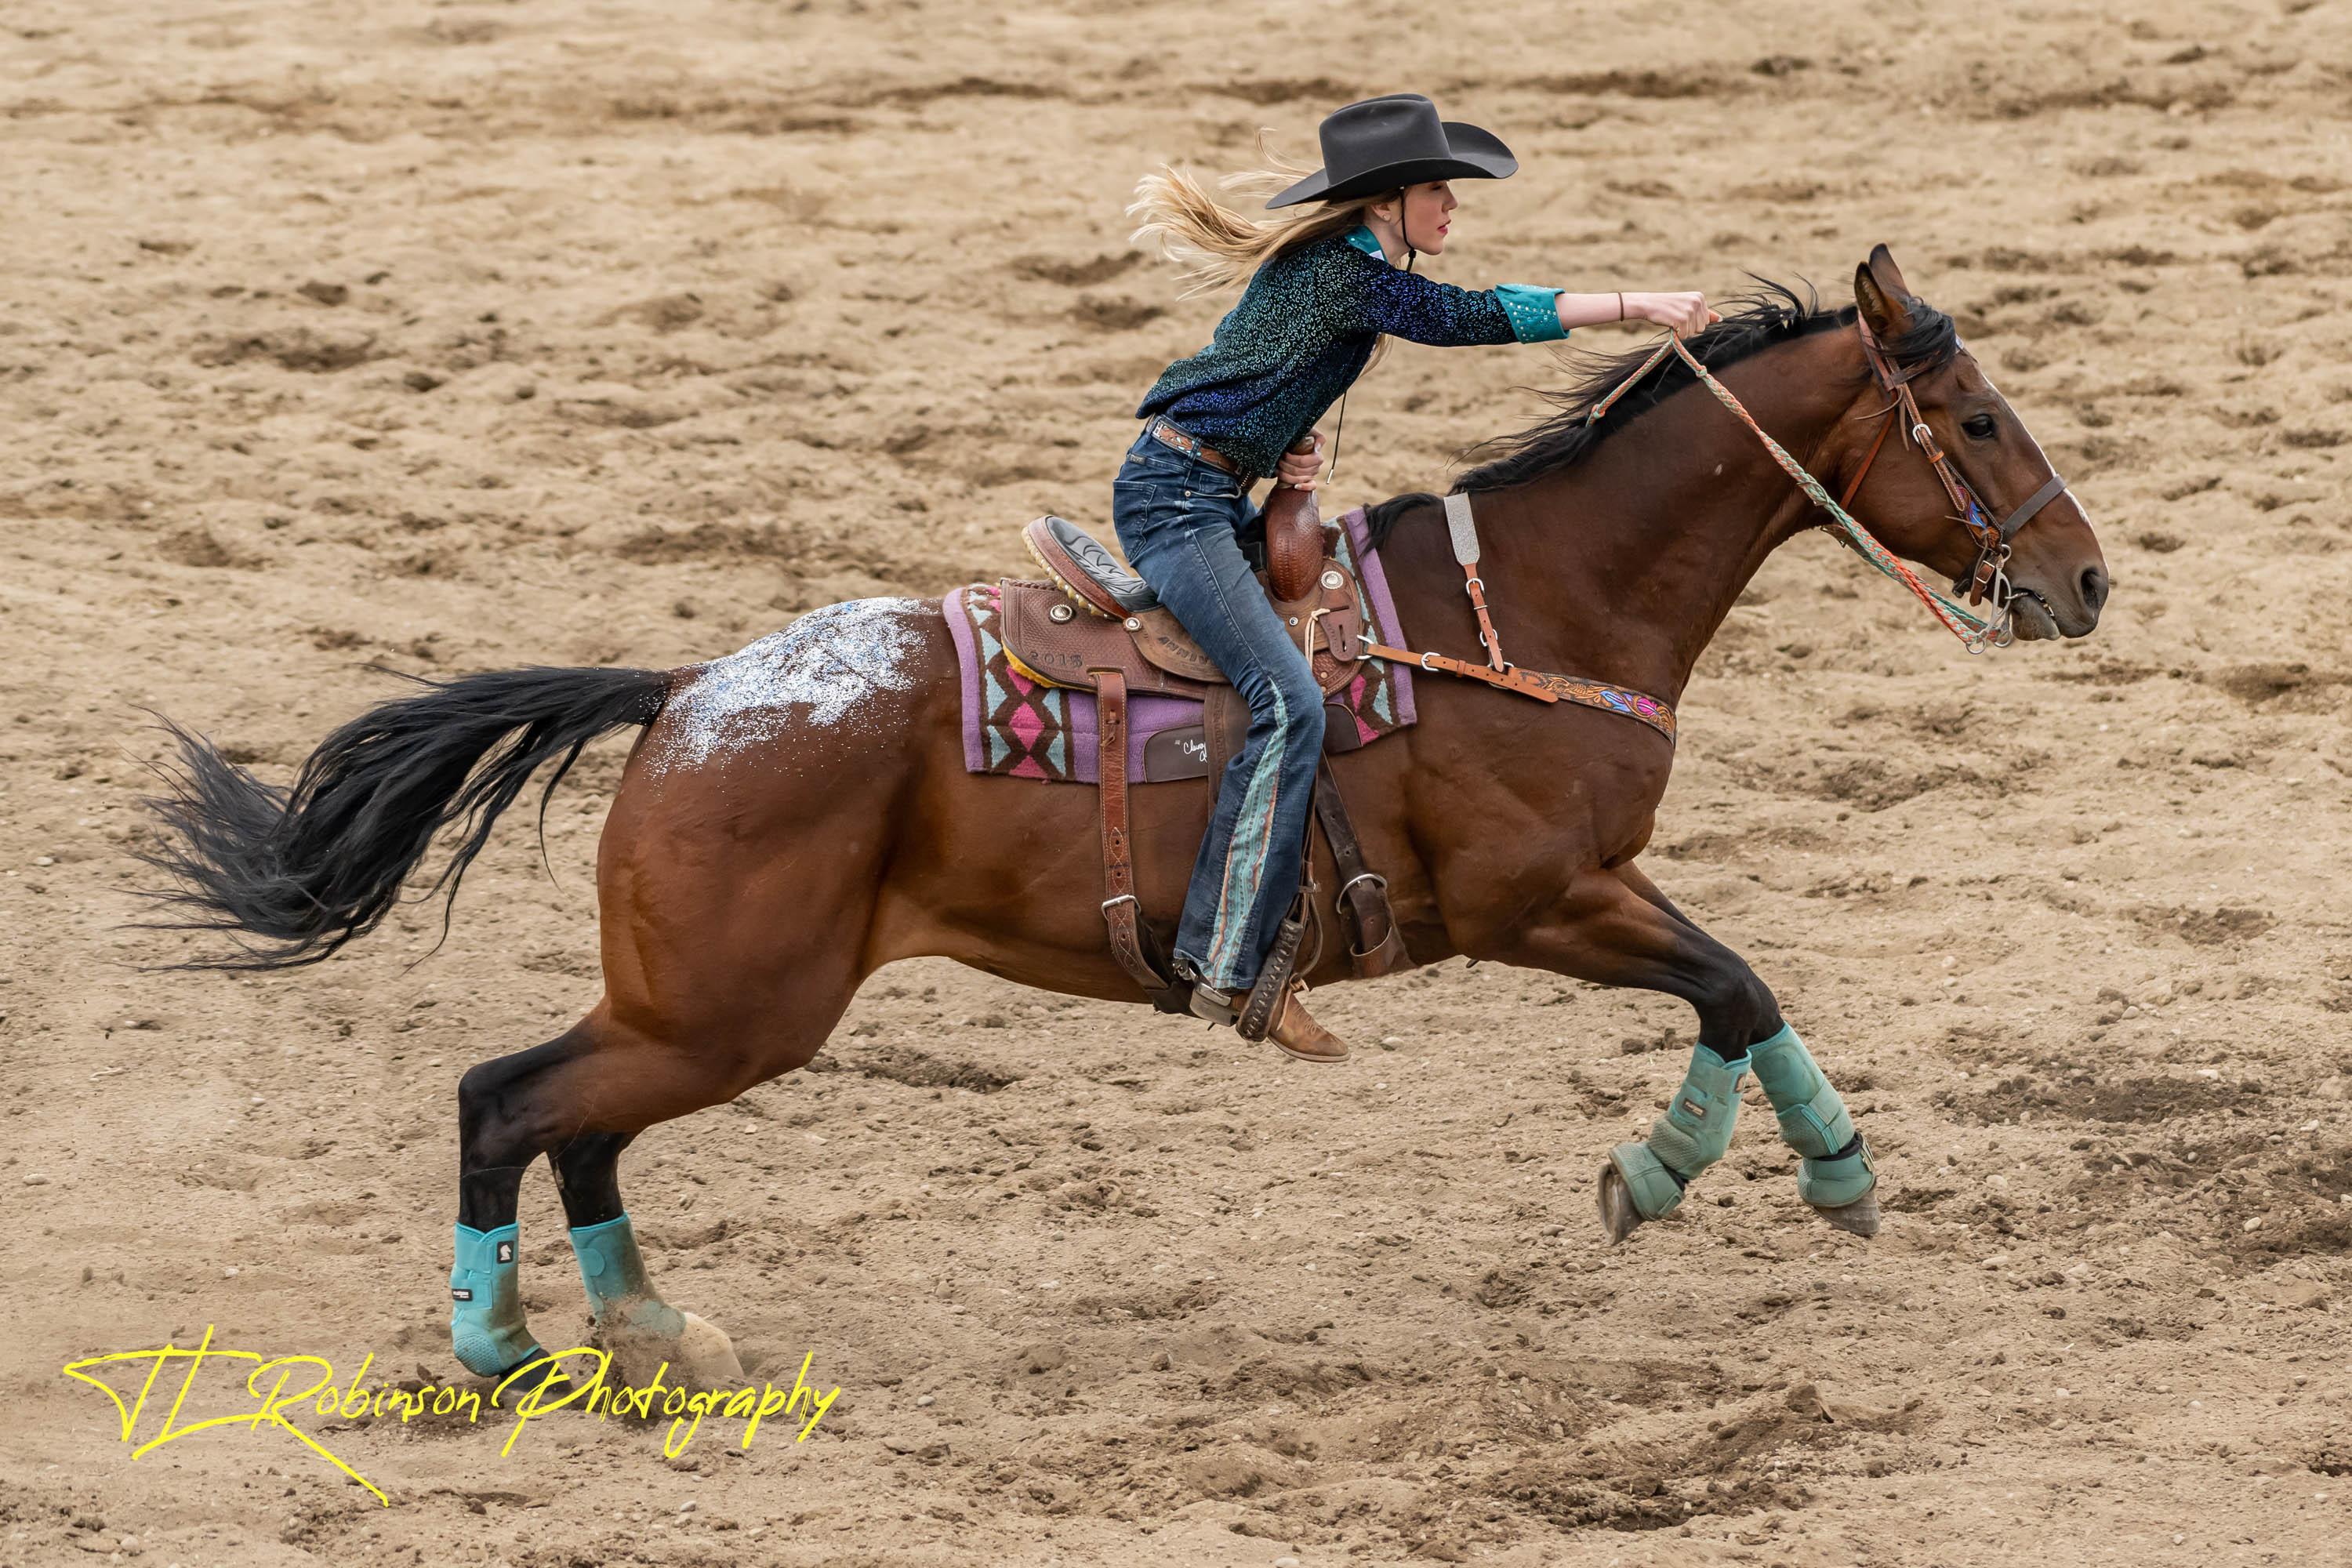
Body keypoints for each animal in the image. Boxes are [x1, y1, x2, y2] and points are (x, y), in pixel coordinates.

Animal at [138, 247, 2107, 1389]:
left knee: (573, 1123)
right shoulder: (1536, 901)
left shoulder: (1592, 889)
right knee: (510, 1100)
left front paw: (1731, 1168)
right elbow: (1733, 981)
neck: (1532, 605)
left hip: (699, 1006)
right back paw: (494, 1348)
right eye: (1973, 416)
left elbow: (1736, 983)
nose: (2085, 580)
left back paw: (646, 1322)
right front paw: (1758, 1174)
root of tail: (687, 694)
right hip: (732, 1005)